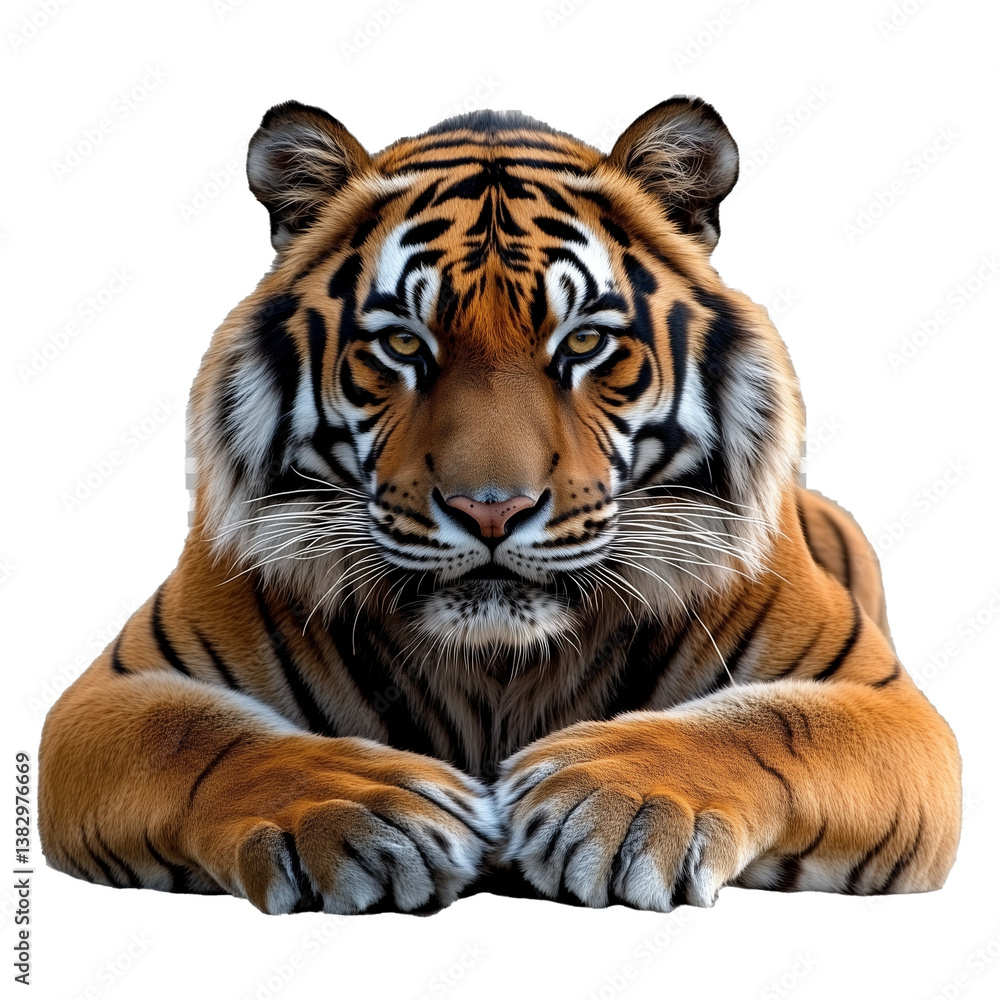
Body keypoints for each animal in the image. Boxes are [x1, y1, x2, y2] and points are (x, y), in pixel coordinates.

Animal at [38, 97, 961, 915]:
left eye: (584, 341)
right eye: (401, 343)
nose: (490, 511)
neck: (495, 669)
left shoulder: (882, 700)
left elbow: (767, 725)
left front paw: (612, 797)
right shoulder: (110, 695)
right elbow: (203, 738)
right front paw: (364, 806)